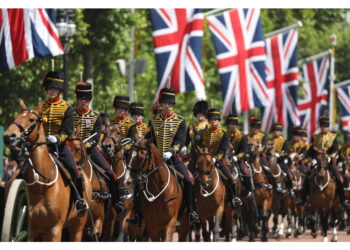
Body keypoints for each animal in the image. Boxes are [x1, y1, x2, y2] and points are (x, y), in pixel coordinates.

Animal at [3, 100, 91, 241]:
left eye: (31, 119)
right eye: (15, 117)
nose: (8, 136)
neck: (41, 184)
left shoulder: (55, 230)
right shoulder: (32, 230)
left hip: (77, 227)